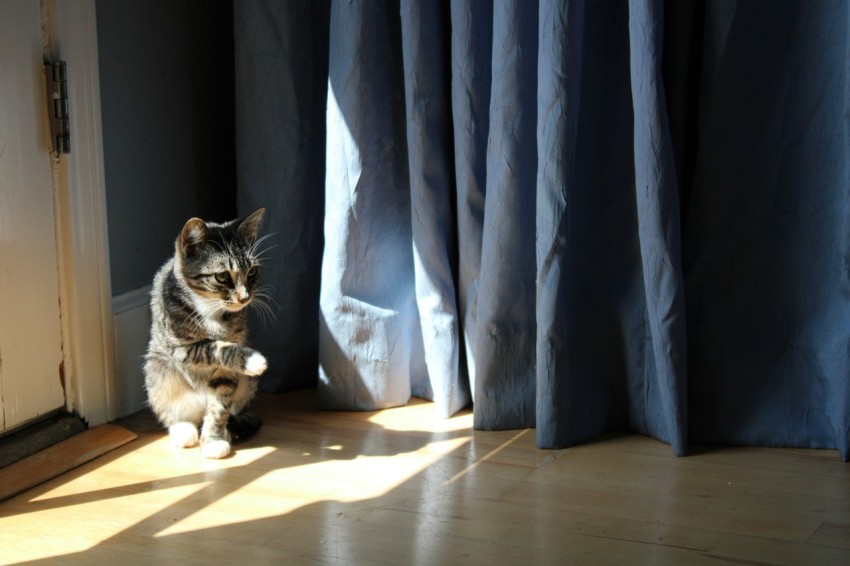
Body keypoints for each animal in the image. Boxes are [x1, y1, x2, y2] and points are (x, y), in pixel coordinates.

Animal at [142, 209, 268, 462]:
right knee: (171, 410)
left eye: (252, 272)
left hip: (247, 385)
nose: (245, 297)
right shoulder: (180, 348)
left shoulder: (229, 367)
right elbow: (213, 347)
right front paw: (252, 360)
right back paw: (183, 429)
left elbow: (220, 403)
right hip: (158, 371)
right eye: (222, 277)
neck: (210, 307)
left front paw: (214, 440)